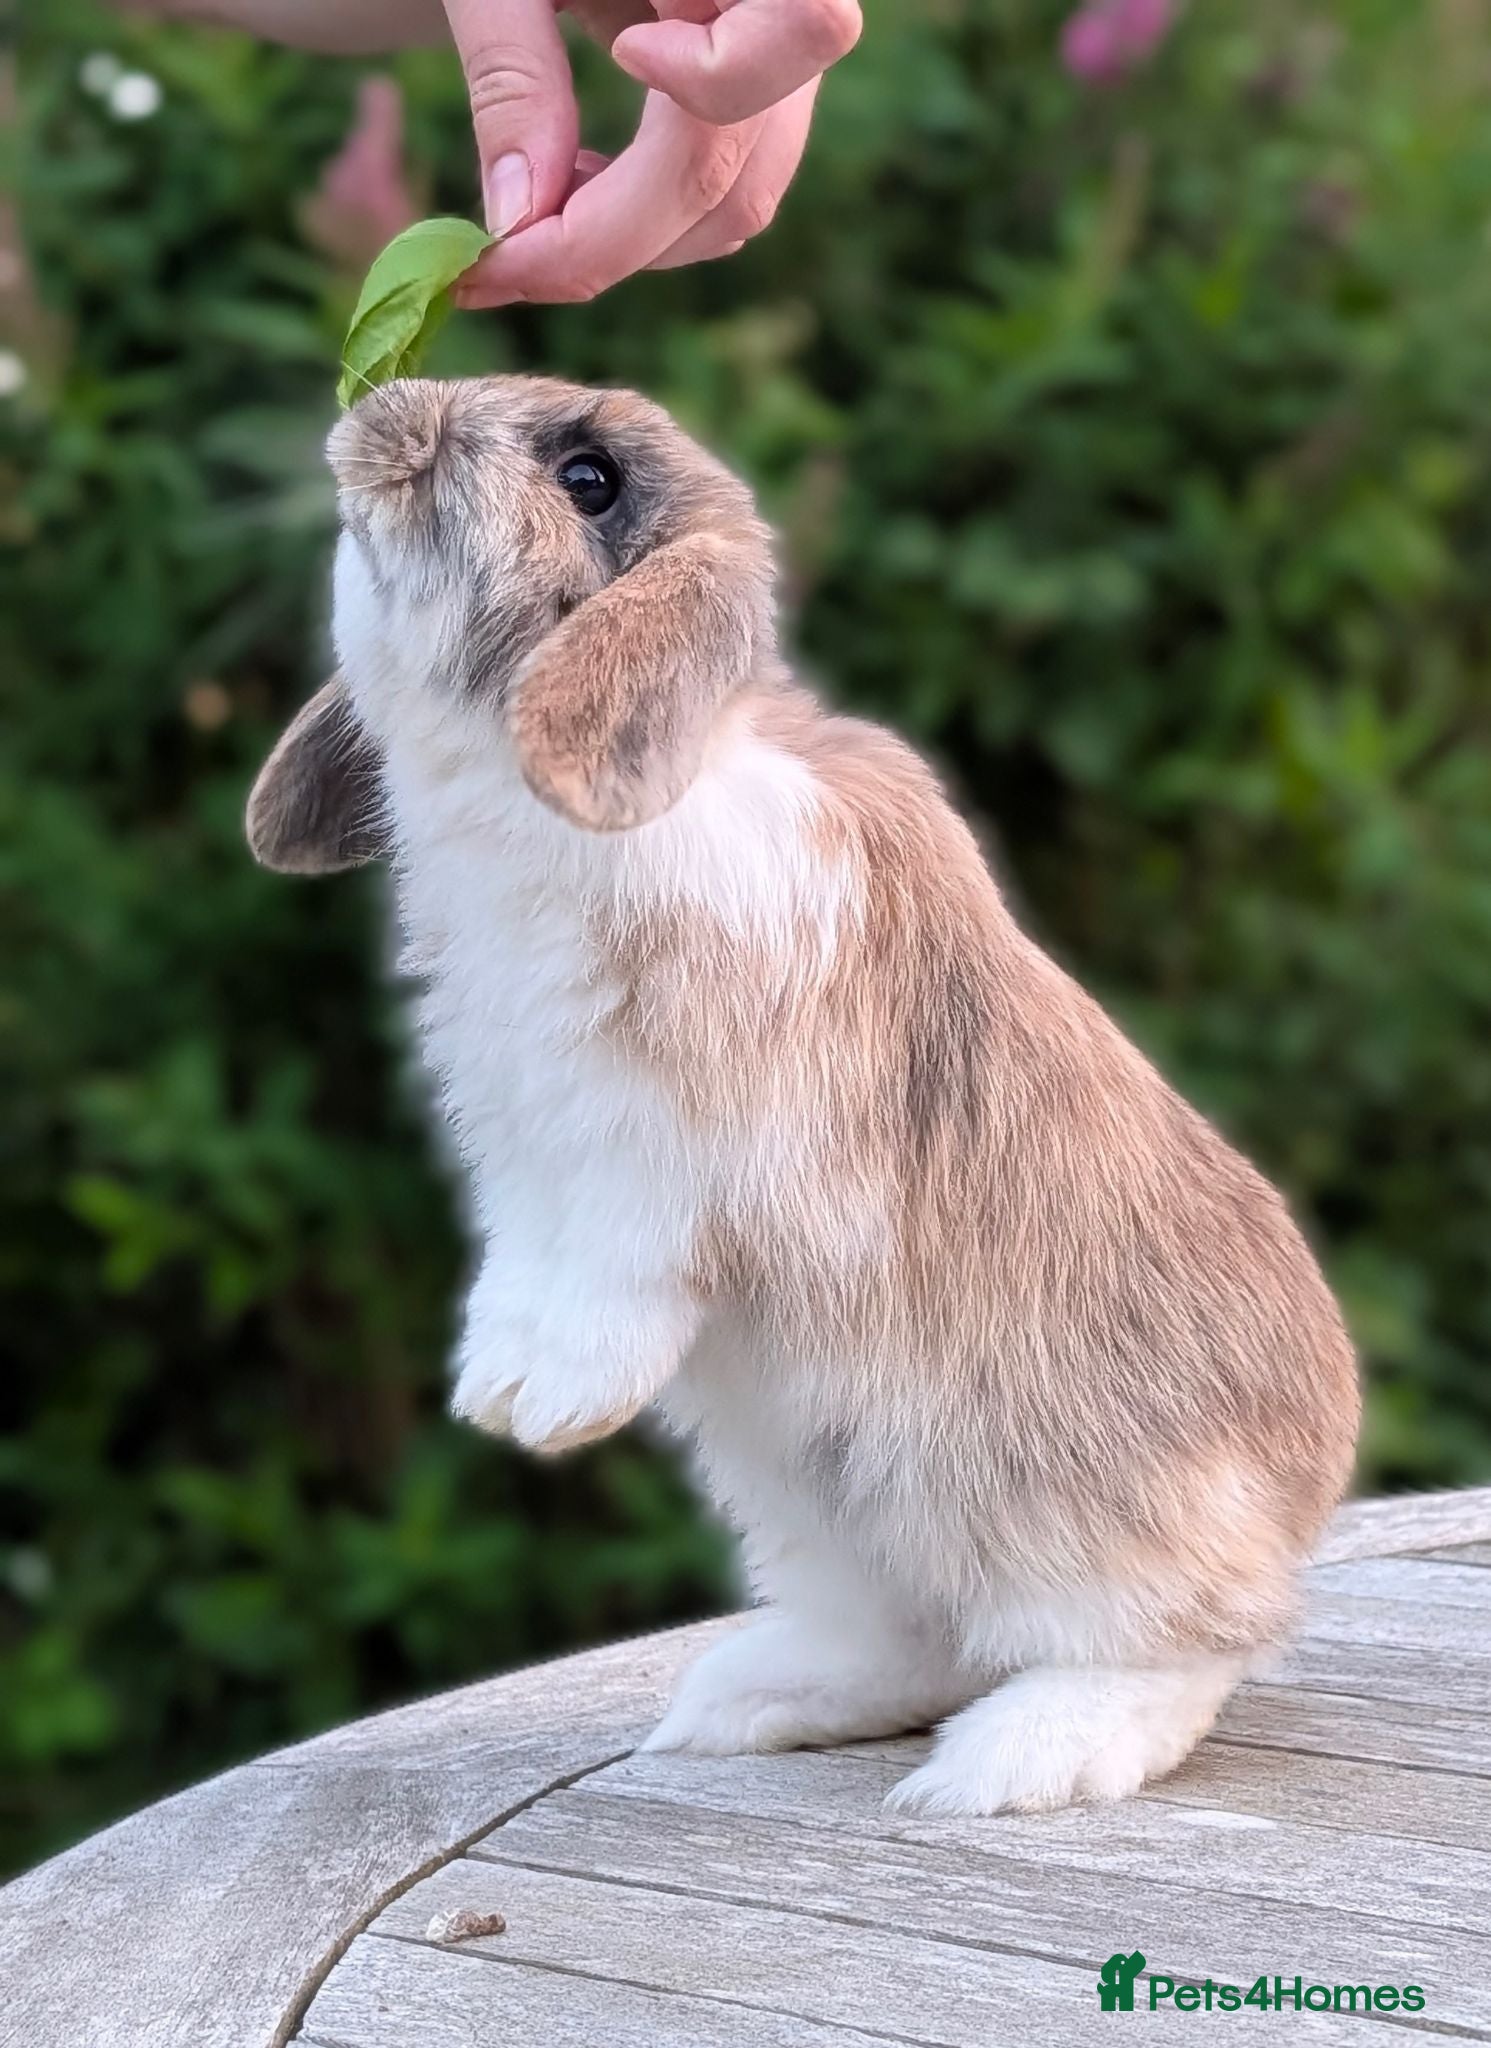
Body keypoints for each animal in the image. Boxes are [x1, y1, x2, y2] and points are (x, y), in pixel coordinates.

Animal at [246, 374, 1360, 1815]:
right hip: (823, 1502)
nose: (384, 412)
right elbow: (525, 1271)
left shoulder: (666, 1154)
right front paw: (497, 1380)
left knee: (1176, 1648)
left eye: (589, 478)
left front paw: (550, 1404)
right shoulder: (527, 1159)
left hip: (1072, 1508)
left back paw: (1005, 1764)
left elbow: (612, 1274)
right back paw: (748, 1702)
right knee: (926, 1638)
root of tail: (1307, 1492)